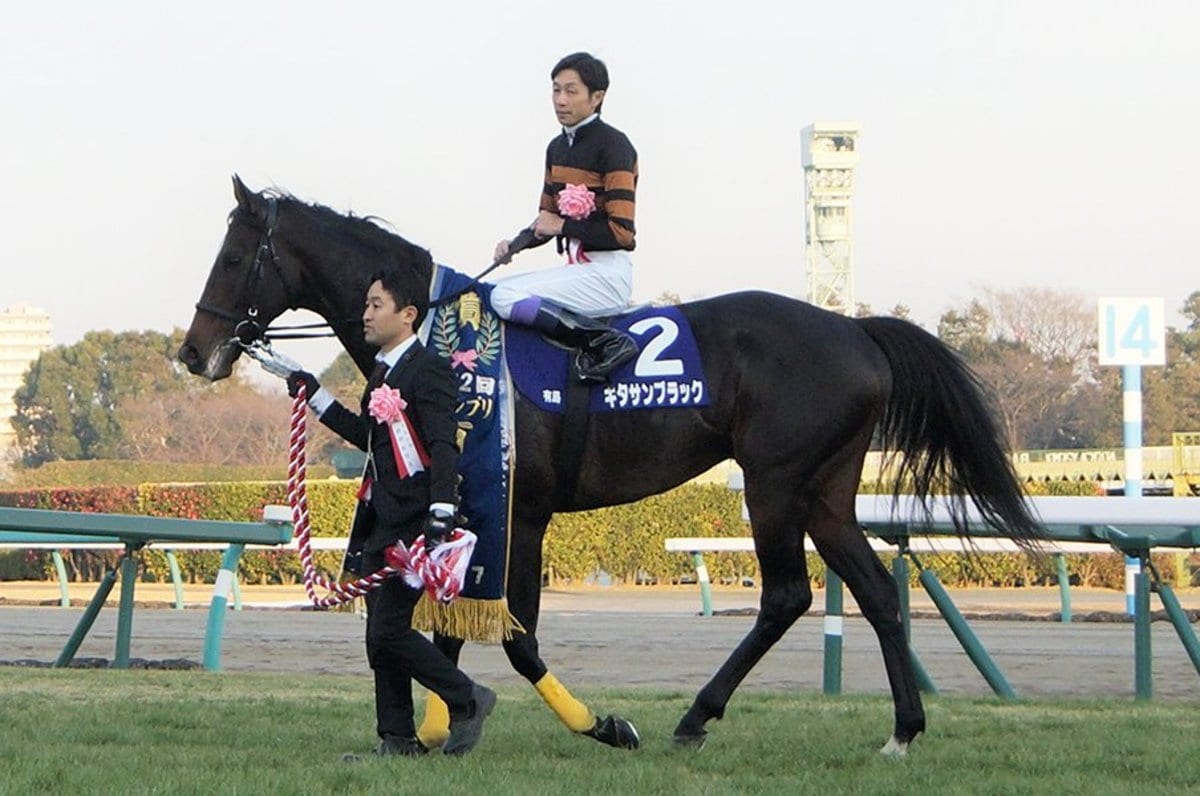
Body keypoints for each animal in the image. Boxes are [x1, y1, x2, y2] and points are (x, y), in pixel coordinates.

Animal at [177, 177, 1041, 758]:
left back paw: (696, 716)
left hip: (775, 483)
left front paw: (595, 724)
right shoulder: (481, 508)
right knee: (875, 595)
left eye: (235, 253)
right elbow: (448, 628)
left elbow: (511, 638)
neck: (442, 335)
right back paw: (902, 730)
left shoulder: (517, 511)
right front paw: (435, 725)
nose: (193, 352)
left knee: (788, 595)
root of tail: (854, 329)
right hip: (824, 491)